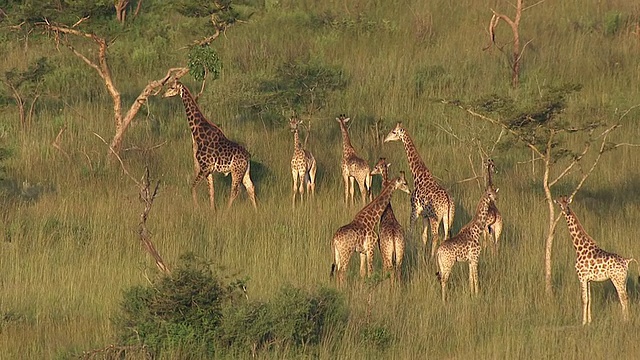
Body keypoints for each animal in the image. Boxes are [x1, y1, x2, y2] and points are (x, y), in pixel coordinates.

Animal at [162, 79, 258, 211]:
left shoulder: (204, 167)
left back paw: (227, 211)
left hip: (236, 171)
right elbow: (211, 191)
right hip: (245, 172)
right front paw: (212, 210)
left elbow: (193, 187)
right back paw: (256, 212)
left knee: (235, 191)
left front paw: (197, 207)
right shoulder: (209, 169)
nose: (163, 95)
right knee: (250, 187)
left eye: (171, 87)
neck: (198, 131)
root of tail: (248, 156)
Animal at [384, 122, 456, 258]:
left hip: (435, 217)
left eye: (394, 132)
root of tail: (448, 202)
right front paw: (422, 252)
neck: (418, 174)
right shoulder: (425, 215)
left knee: (436, 236)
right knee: (446, 235)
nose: (385, 139)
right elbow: (424, 236)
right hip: (448, 216)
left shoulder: (415, 210)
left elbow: (410, 230)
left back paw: (433, 256)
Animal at [552, 195, 636, 324]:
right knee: (626, 297)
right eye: (560, 205)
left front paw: (583, 322)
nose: (566, 211)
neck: (579, 248)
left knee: (623, 297)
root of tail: (627, 261)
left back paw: (624, 320)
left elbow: (584, 299)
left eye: (567, 204)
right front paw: (589, 321)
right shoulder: (589, 279)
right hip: (624, 280)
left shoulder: (581, 277)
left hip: (617, 279)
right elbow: (589, 299)